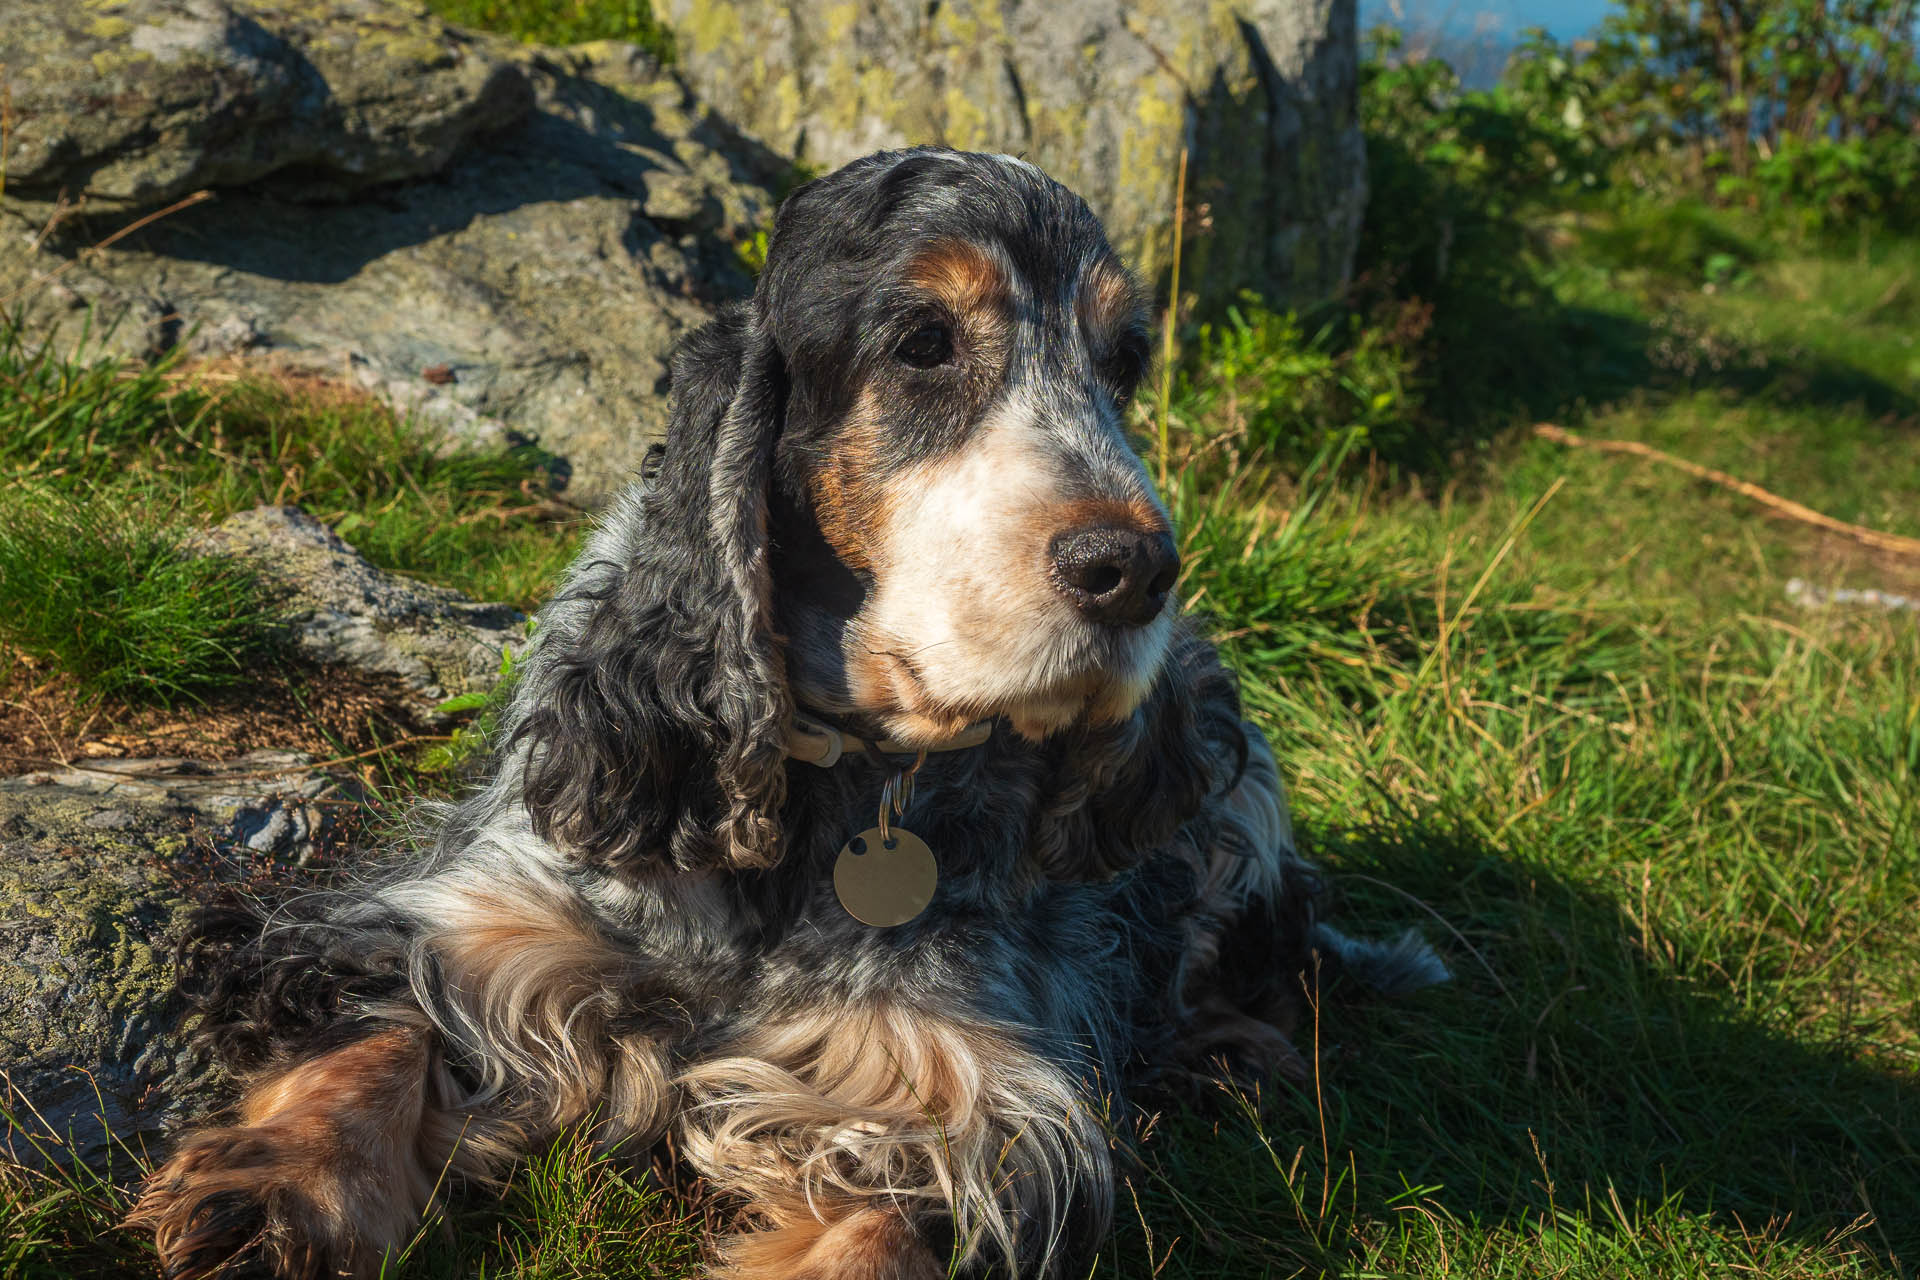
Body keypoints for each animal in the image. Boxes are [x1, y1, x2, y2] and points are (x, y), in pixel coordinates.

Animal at [127, 147, 1443, 1280]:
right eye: (923, 342)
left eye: (1122, 363)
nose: (1136, 568)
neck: (829, 793)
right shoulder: (471, 911)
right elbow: (374, 1026)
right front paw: (283, 1182)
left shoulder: (976, 1094)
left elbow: (894, 1208)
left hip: (1230, 775)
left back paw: (1236, 1053)